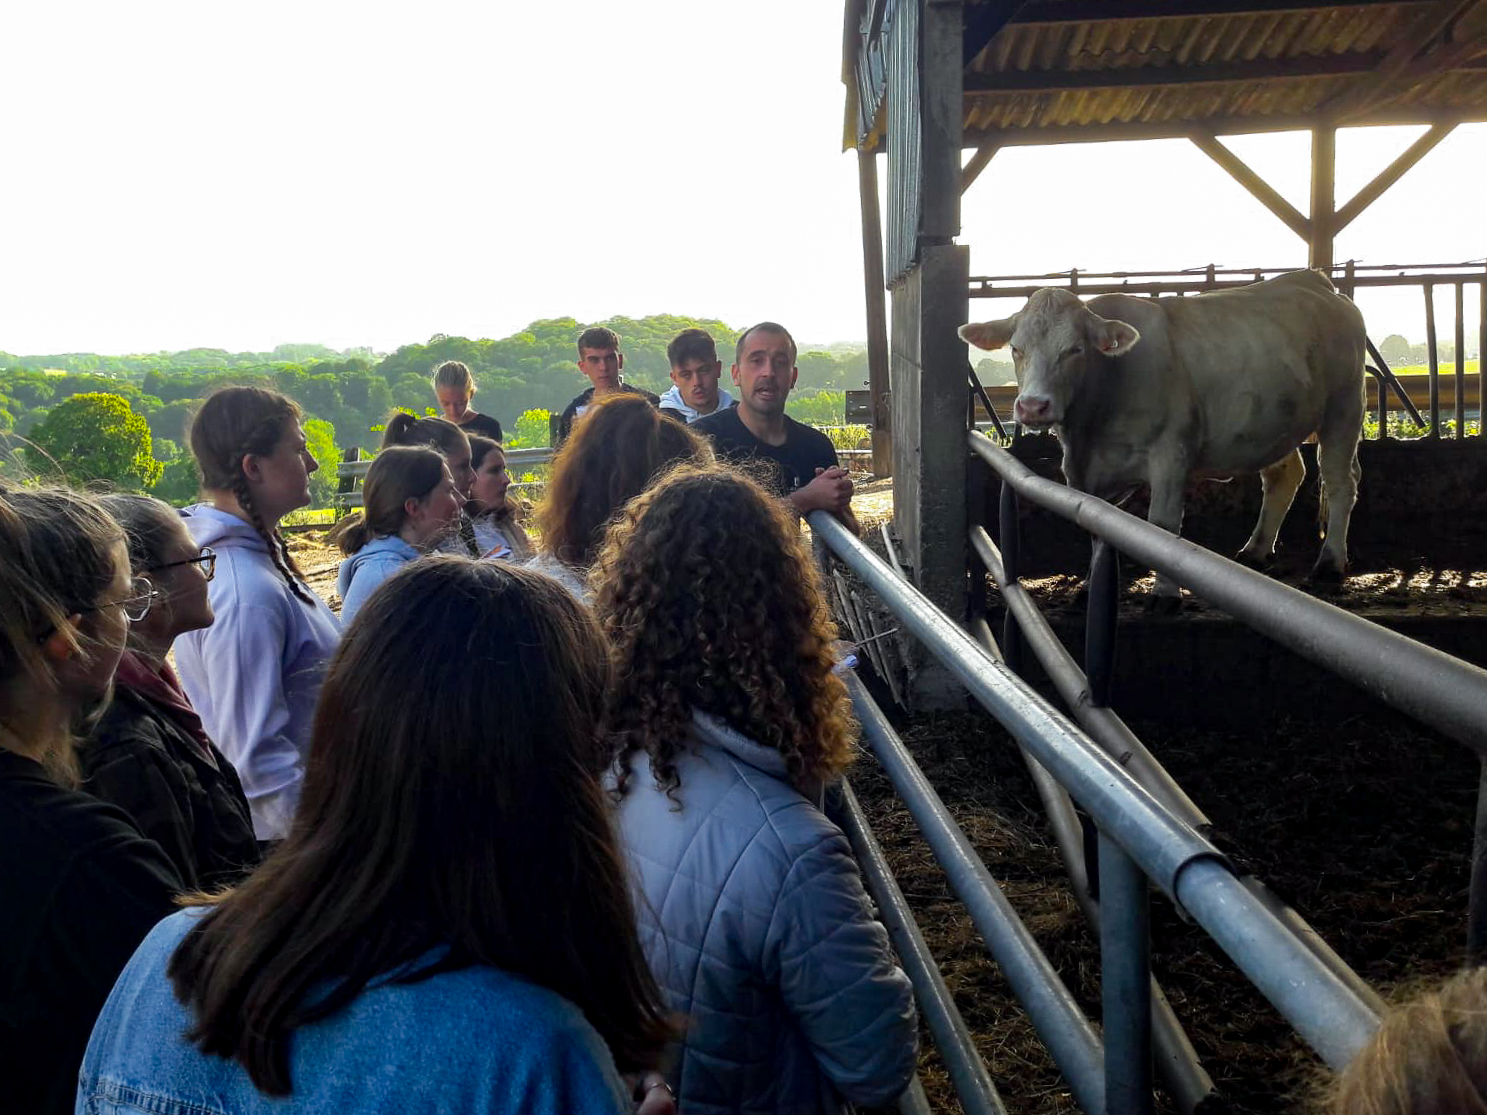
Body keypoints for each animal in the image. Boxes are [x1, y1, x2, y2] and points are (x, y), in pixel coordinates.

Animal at [957, 270, 1362, 603]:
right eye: (1016, 348)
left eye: (1075, 349)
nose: (1033, 406)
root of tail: (1313, 280)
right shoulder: (1083, 472)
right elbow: (1096, 526)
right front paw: (1092, 585)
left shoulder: (1171, 454)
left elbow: (1163, 527)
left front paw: (1165, 594)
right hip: (1275, 422)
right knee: (1284, 476)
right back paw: (1256, 550)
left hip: (1343, 410)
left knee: (1340, 483)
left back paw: (1329, 563)